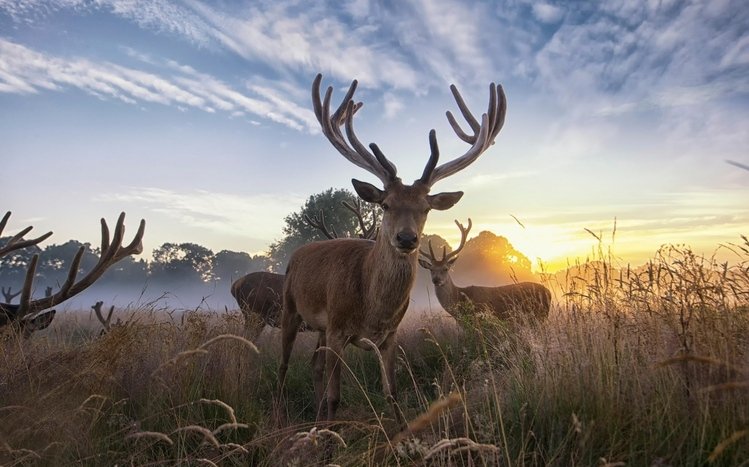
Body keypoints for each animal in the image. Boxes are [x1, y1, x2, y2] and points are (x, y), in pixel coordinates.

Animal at [278, 73, 507, 423]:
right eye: (385, 204)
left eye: (426, 208)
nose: (407, 239)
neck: (372, 308)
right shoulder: (338, 327)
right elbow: (335, 397)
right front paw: (330, 432)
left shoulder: (389, 336)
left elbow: (393, 394)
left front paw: (398, 432)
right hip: (290, 308)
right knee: (283, 366)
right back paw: (284, 413)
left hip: (319, 327)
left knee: (313, 365)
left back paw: (316, 418)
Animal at [419, 219, 551, 322]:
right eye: (431, 269)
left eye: (446, 268)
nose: (436, 280)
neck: (460, 298)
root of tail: (548, 292)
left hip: (539, 315)